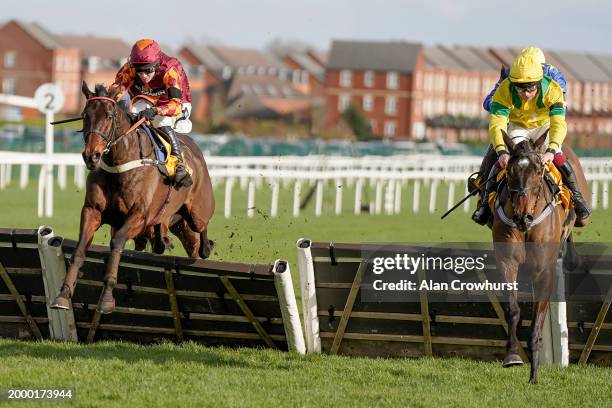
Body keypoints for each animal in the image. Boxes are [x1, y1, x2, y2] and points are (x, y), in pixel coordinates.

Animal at [51, 81, 216, 314]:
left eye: (109, 116)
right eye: (85, 115)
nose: (91, 156)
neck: (119, 163)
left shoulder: (139, 216)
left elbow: (117, 243)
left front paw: (106, 299)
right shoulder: (92, 211)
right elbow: (80, 250)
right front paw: (63, 296)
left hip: (197, 212)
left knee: (200, 232)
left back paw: (206, 247)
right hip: (174, 220)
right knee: (184, 239)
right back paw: (163, 240)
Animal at [492, 131, 588, 382]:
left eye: (538, 170)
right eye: (510, 171)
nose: (521, 217)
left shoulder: (543, 269)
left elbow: (538, 317)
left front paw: (534, 373)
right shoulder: (507, 261)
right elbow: (513, 309)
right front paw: (512, 355)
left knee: (573, 226)